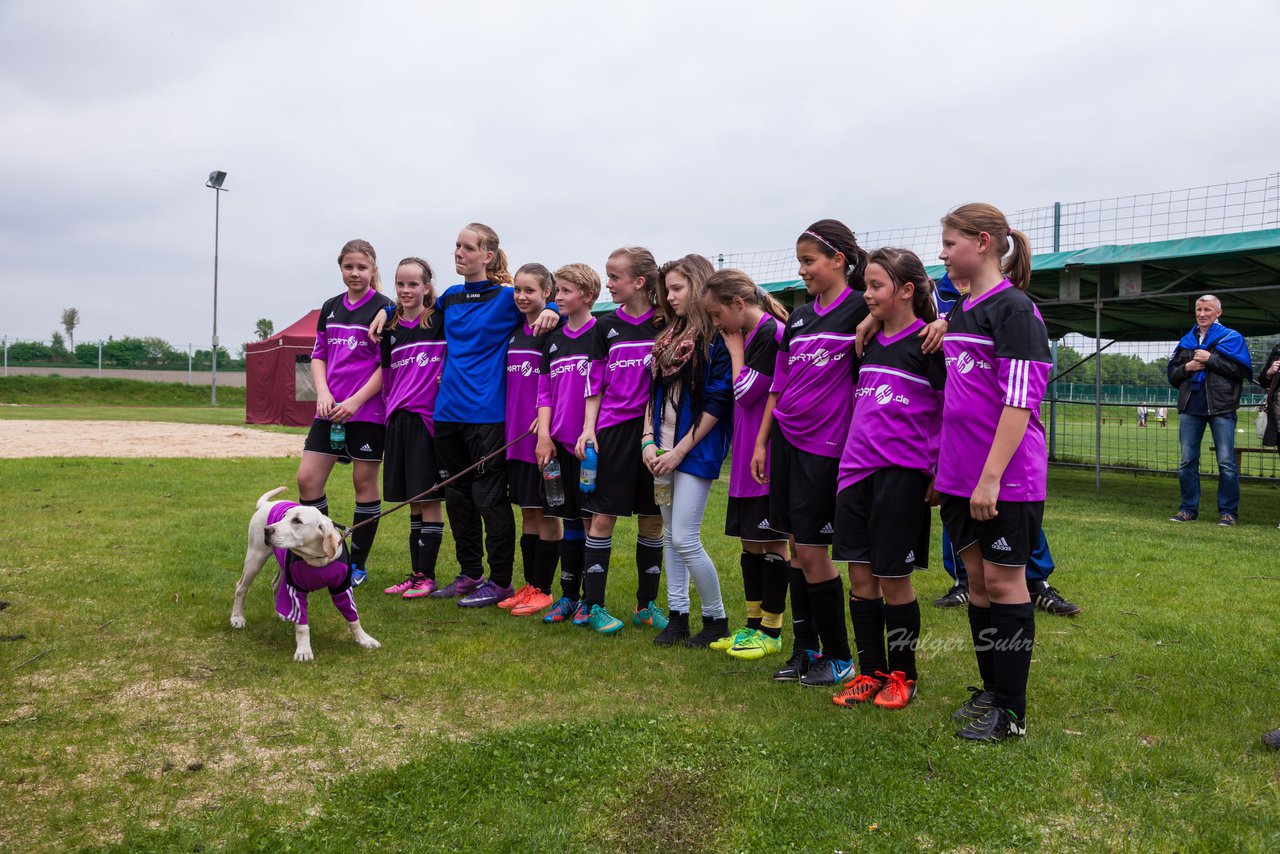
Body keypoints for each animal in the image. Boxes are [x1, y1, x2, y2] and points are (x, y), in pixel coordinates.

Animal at [231, 486, 378, 660]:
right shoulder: (296, 590)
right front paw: (303, 651)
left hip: (282, 565)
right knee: (241, 588)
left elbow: (353, 618)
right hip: (255, 557)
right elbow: (302, 626)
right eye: (284, 517)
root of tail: (266, 504)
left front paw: (364, 639)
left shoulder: (342, 588)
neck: (318, 559)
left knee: (275, 584)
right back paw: (237, 618)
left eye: (297, 521)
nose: (267, 530)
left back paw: (280, 613)